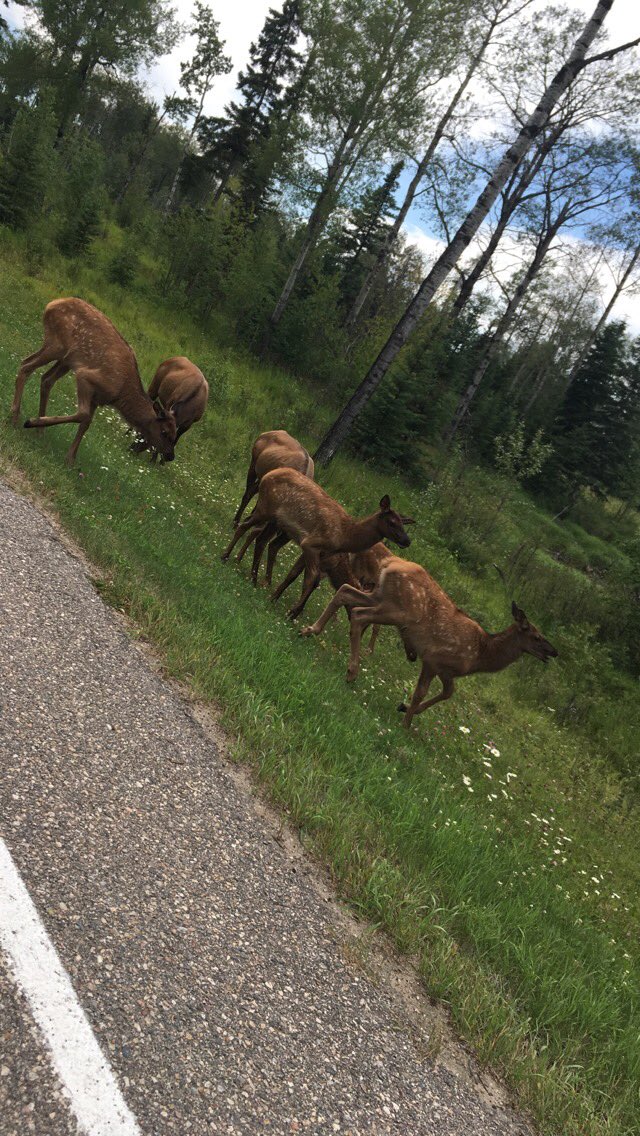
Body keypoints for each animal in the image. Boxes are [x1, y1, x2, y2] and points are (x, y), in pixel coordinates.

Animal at [11, 298, 177, 466]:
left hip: (67, 360)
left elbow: (86, 424)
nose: (170, 455)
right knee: (26, 365)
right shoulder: (86, 377)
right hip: (56, 345)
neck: (119, 394)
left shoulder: (98, 398)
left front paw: (70, 459)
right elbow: (82, 414)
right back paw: (15, 417)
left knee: (46, 379)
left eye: (176, 432)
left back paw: (40, 431)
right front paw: (30, 421)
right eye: (164, 432)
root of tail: (52, 303)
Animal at [221, 469, 412, 616]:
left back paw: (254, 577)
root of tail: (269, 473)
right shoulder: (312, 543)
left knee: (260, 538)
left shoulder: (320, 552)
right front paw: (291, 611)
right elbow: (310, 579)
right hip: (266, 507)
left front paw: (277, 599)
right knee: (244, 526)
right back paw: (226, 557)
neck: (344, 536)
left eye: (403, 524)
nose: (407, 541)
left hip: (275, 520)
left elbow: (299, 576)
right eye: (392, 522)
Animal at [301, 557, 558, 728]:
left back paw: (310, 630)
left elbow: (448, 693)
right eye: (536, 636)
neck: (479, 655)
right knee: (358, 614)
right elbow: (421, 692)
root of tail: (390, 563)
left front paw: (405, 708)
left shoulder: (447, 670)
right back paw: (351, 671)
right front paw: (405, 723)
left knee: (345, 591)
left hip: (380, 596)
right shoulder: (434, 658)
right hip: (397, 610)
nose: (553, 652)